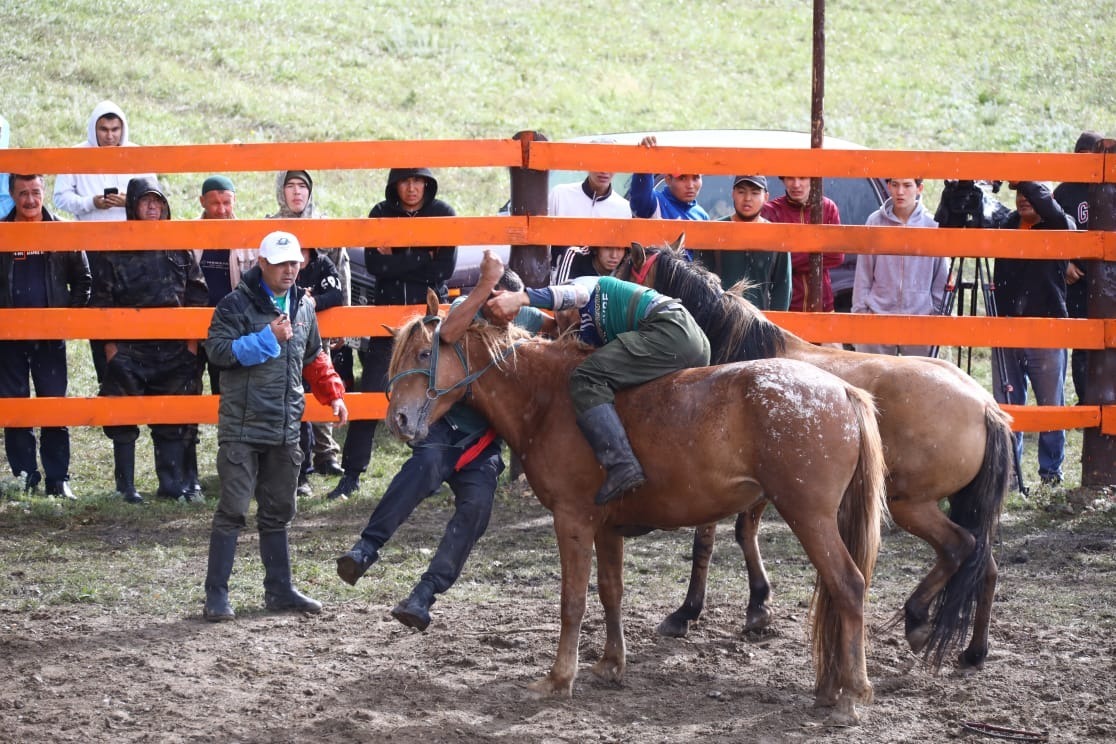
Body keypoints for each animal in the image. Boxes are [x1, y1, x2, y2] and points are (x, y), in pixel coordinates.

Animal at [385, 290, 888, 724]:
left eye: (422, 354)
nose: (399, 420)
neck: (548, 398)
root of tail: (842, 391)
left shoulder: (572, 520)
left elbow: (572, 601)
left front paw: (559, 678)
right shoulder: (606, 528)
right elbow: (611, 592)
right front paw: (611, 663)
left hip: (810, 517)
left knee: (848, 587)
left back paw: (852, 693)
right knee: (834, 592)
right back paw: (829, 688)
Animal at [615, 239, 1014, 671]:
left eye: (618, 272)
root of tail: (985, 406)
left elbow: (707, 542)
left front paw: (687, 612)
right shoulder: (760, 484)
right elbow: (744, 532)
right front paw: (758, 605)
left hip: (910, 504)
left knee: (959, 548)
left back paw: (917, 618)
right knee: (983, 566)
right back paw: (974, 650)